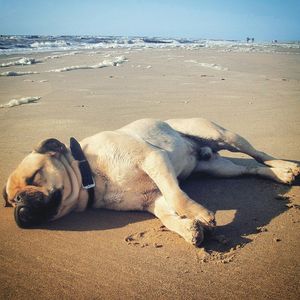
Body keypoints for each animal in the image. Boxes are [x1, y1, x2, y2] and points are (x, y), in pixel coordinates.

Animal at [2, 118, 300, 246]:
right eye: (10, 199)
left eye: (33, 178)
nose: (18, 203)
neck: (90, 173)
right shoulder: (152, 199)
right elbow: (167, 214)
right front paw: (189, 229)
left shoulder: (153, 159)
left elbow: (177, 197)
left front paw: (199, 214)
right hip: (219, 169)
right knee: (250, 168)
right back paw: (280, 174)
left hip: (223, 136)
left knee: (259, 154)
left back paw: (287, 167)